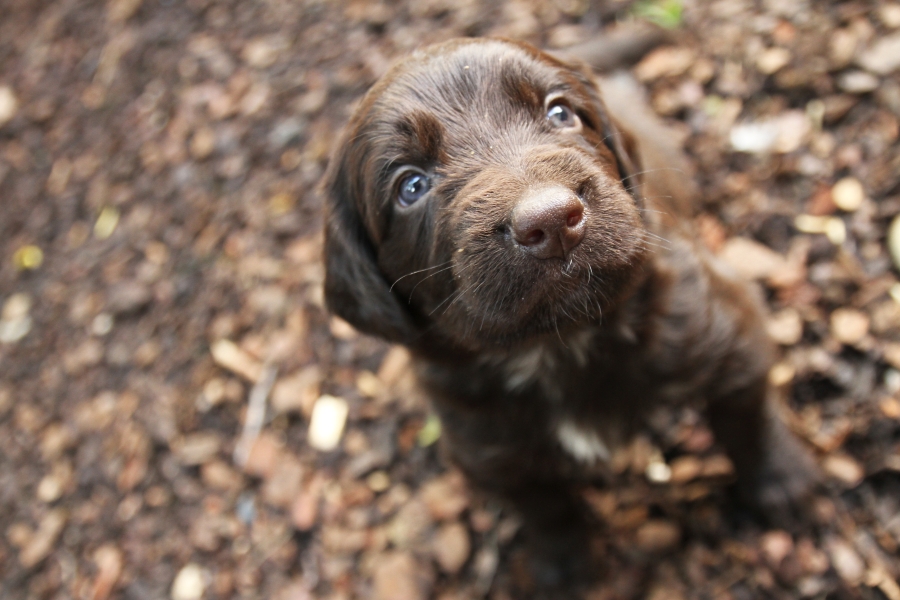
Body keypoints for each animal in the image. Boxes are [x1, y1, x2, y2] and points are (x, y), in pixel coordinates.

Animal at [322, 39, 816, 588]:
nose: (553, 221)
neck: (561, 345)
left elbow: (747, 417)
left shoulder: (724, 331)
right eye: (410, 186)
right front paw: (564, 568)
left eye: (560, 113)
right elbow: (547, 510)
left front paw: (782, 482)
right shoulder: (488, 449)